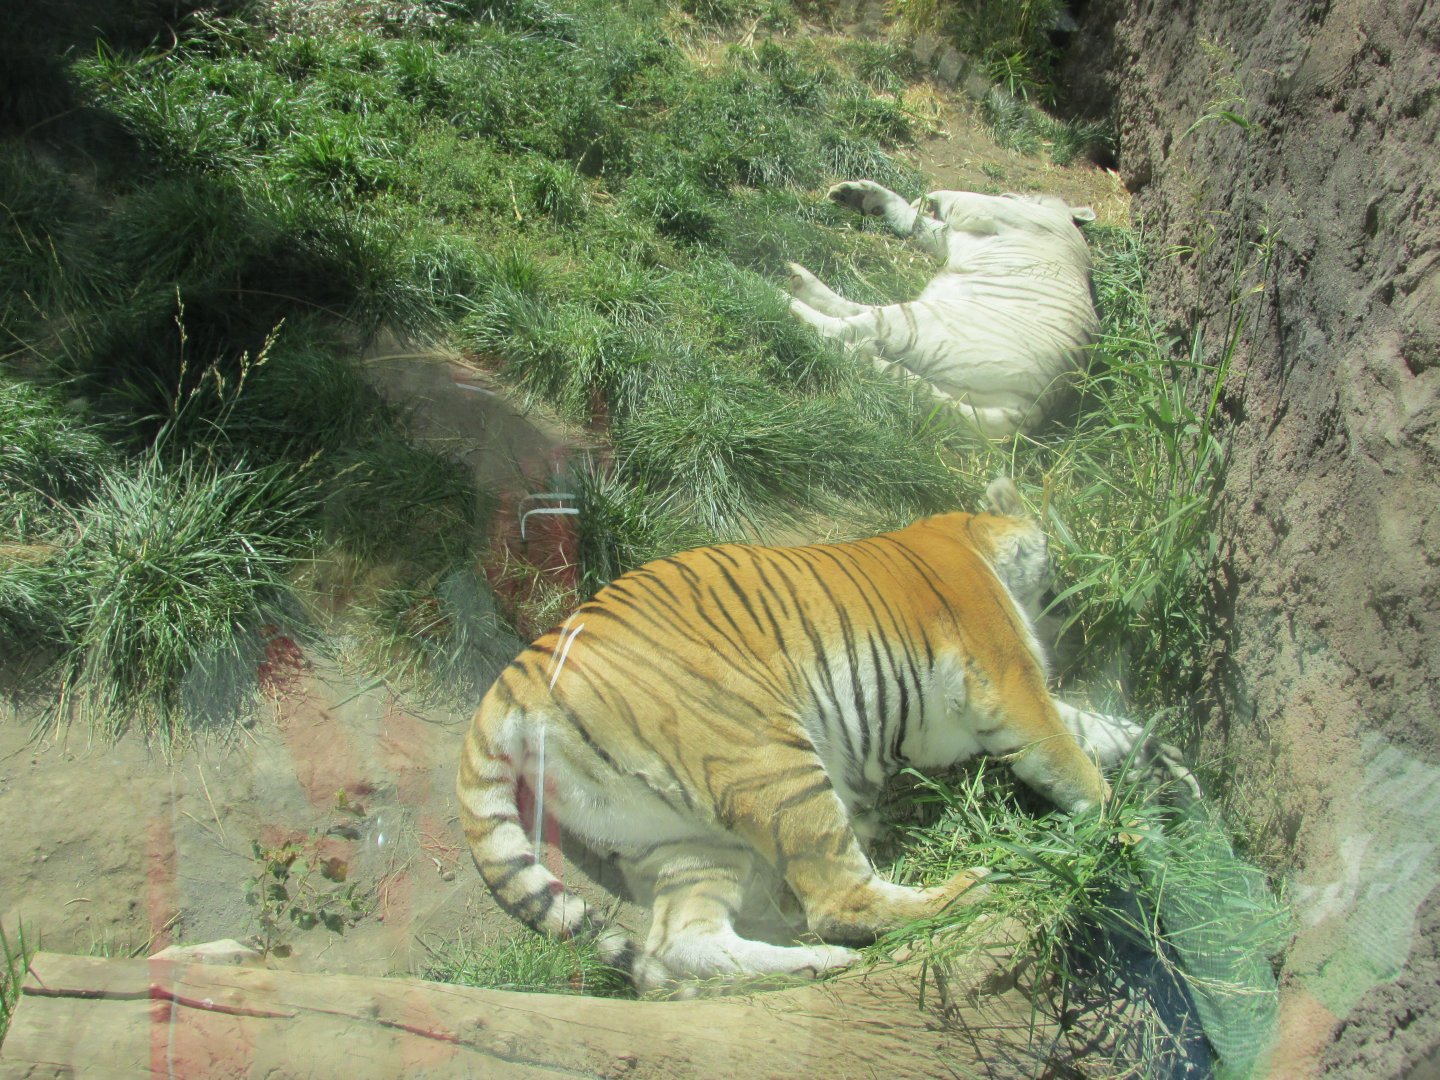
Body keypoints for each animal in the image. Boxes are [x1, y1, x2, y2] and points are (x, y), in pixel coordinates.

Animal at [455, 479, 1185, 993]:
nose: (1080, 611)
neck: (967, 534)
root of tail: (517, 670)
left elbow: (1095, 730)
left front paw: (1165, 762)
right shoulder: (1010, 681)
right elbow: (1068, 756)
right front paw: (1127, 834)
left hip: (681, 840)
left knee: (685, 940)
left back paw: (813, 966)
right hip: (773, 761)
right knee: (838, 899)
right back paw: (976, 885)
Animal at [786, 181, 1100, 439]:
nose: (1008, 194)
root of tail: (1033, 408)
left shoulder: (988, 211)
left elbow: (956, 196)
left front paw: (926, 198)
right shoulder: (948, 236)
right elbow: (913, 219)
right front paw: (858, 195)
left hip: (922, 319)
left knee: (842, 330)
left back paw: (784, 299)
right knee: (854, 319)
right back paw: (798, 278)